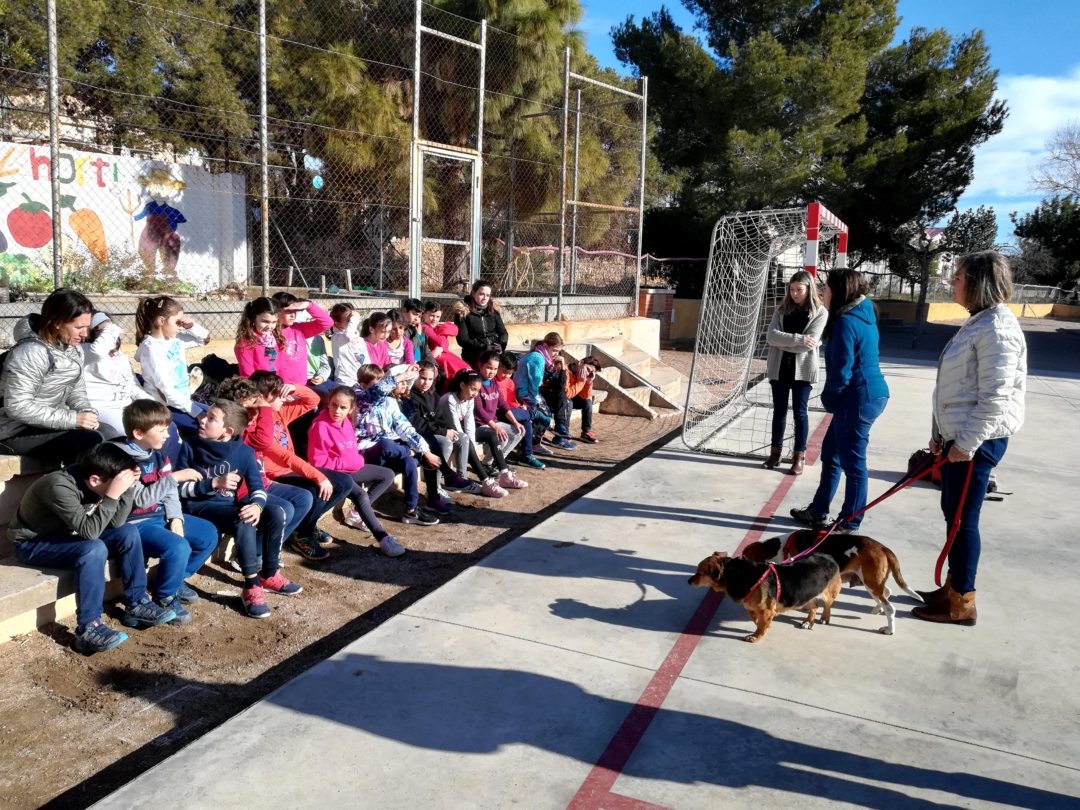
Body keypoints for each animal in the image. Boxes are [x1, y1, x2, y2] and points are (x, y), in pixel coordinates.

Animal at [691, 557, 842, 643]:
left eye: (700, 573)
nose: (688, 581)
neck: (736, 574)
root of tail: (831, 559)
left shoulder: (766, 610)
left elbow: (762, 625)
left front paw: (756, 636)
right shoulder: (755, 607)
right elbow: (753, 616)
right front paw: (758, 624)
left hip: (827, 593)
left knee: (827, 604)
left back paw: (825, 617)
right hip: (801, 597)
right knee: (815, 604)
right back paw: (808, 621)